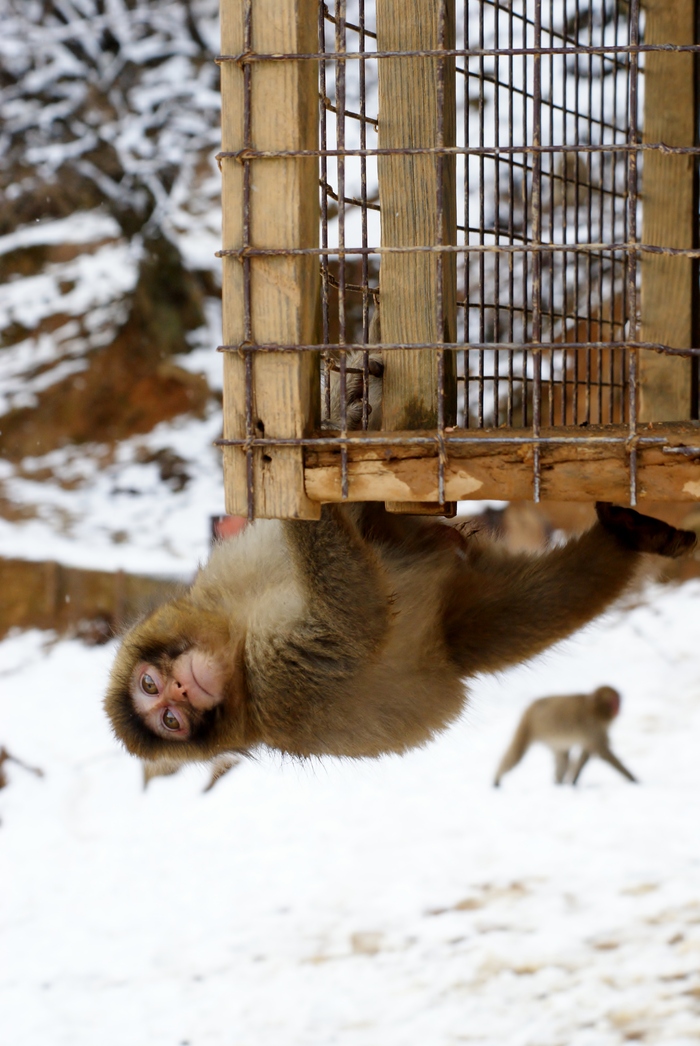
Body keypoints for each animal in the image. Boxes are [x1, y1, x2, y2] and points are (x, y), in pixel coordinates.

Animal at [105, 502, 694, 774]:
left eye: (153, 685)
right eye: (169, 719)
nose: (183, 690)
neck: (240, 632)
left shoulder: (216, 583)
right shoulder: (277, 686)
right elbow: (355, 625)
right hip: (459, 630)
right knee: (510, 619)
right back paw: (622, 542)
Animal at [493, 686, 636, 786]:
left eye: (618, 700)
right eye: (613, 701)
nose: (618, 707)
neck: (595, 708)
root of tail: (532, 705)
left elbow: (587, 751)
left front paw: (573, 781)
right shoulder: (591, 724)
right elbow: (602, 751)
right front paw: (633, 778)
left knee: (562, 756)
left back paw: (558, 784)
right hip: (528, 725)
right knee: (517, 753)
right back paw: (496, 780)